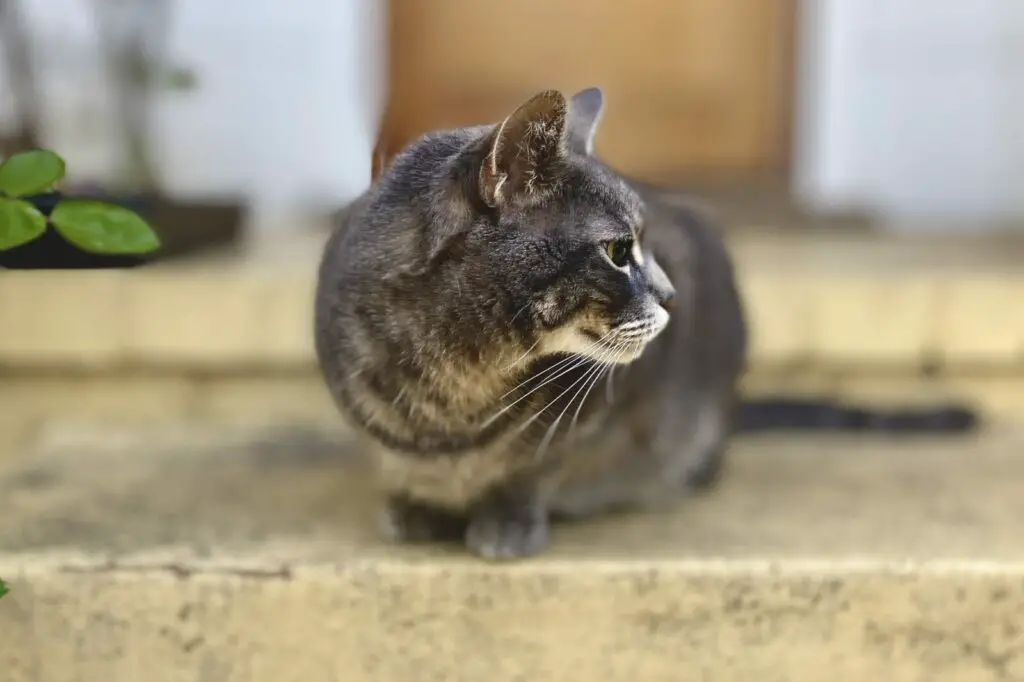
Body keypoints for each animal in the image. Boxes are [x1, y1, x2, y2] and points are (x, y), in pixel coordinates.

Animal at [315, 86, 749, 557]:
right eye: (617, 251)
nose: (671, 295)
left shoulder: (568, 435)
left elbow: (529, 474)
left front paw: (506, 525)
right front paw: (413, 507)